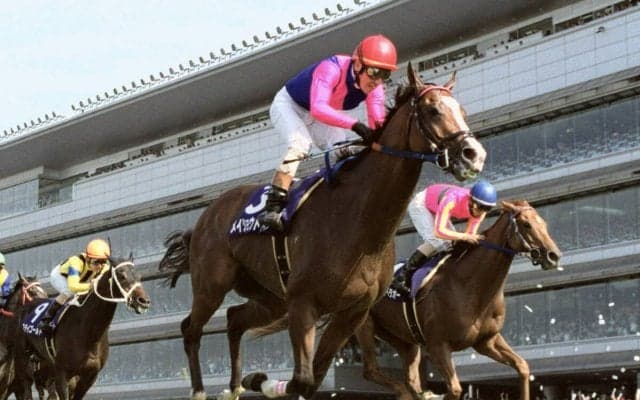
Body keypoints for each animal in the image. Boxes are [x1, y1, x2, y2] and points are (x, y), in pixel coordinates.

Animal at [12, 258, 151, 400]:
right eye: (122, 276)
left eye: (139, 276)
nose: (143, 301)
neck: (89, 332)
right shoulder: (62, 374)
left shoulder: (89, 376)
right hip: (23, 360)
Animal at [159, 63, 487, 400]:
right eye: (433, 110)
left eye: (462, 110)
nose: (473, 154)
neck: (360, 223)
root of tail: (206, 215)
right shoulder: (303, 302)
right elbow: (302, 378)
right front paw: (263, 381)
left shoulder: (352, 312)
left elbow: (313, 377)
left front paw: (259, 381)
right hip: (213, 283)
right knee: (190, 328)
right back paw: (201, 390)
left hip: (270, 297)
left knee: (234, 319)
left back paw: (235, 387)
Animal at [353, 200, 562, 400]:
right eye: (527, 224)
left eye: (544, 223)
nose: (554, 255)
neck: (468, 285)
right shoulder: (437, 345)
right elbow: (454, 389)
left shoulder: (487, 340)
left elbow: (523, 366)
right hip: (366, 325)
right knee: (371, 372)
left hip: (404, 339)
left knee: (411, 380)